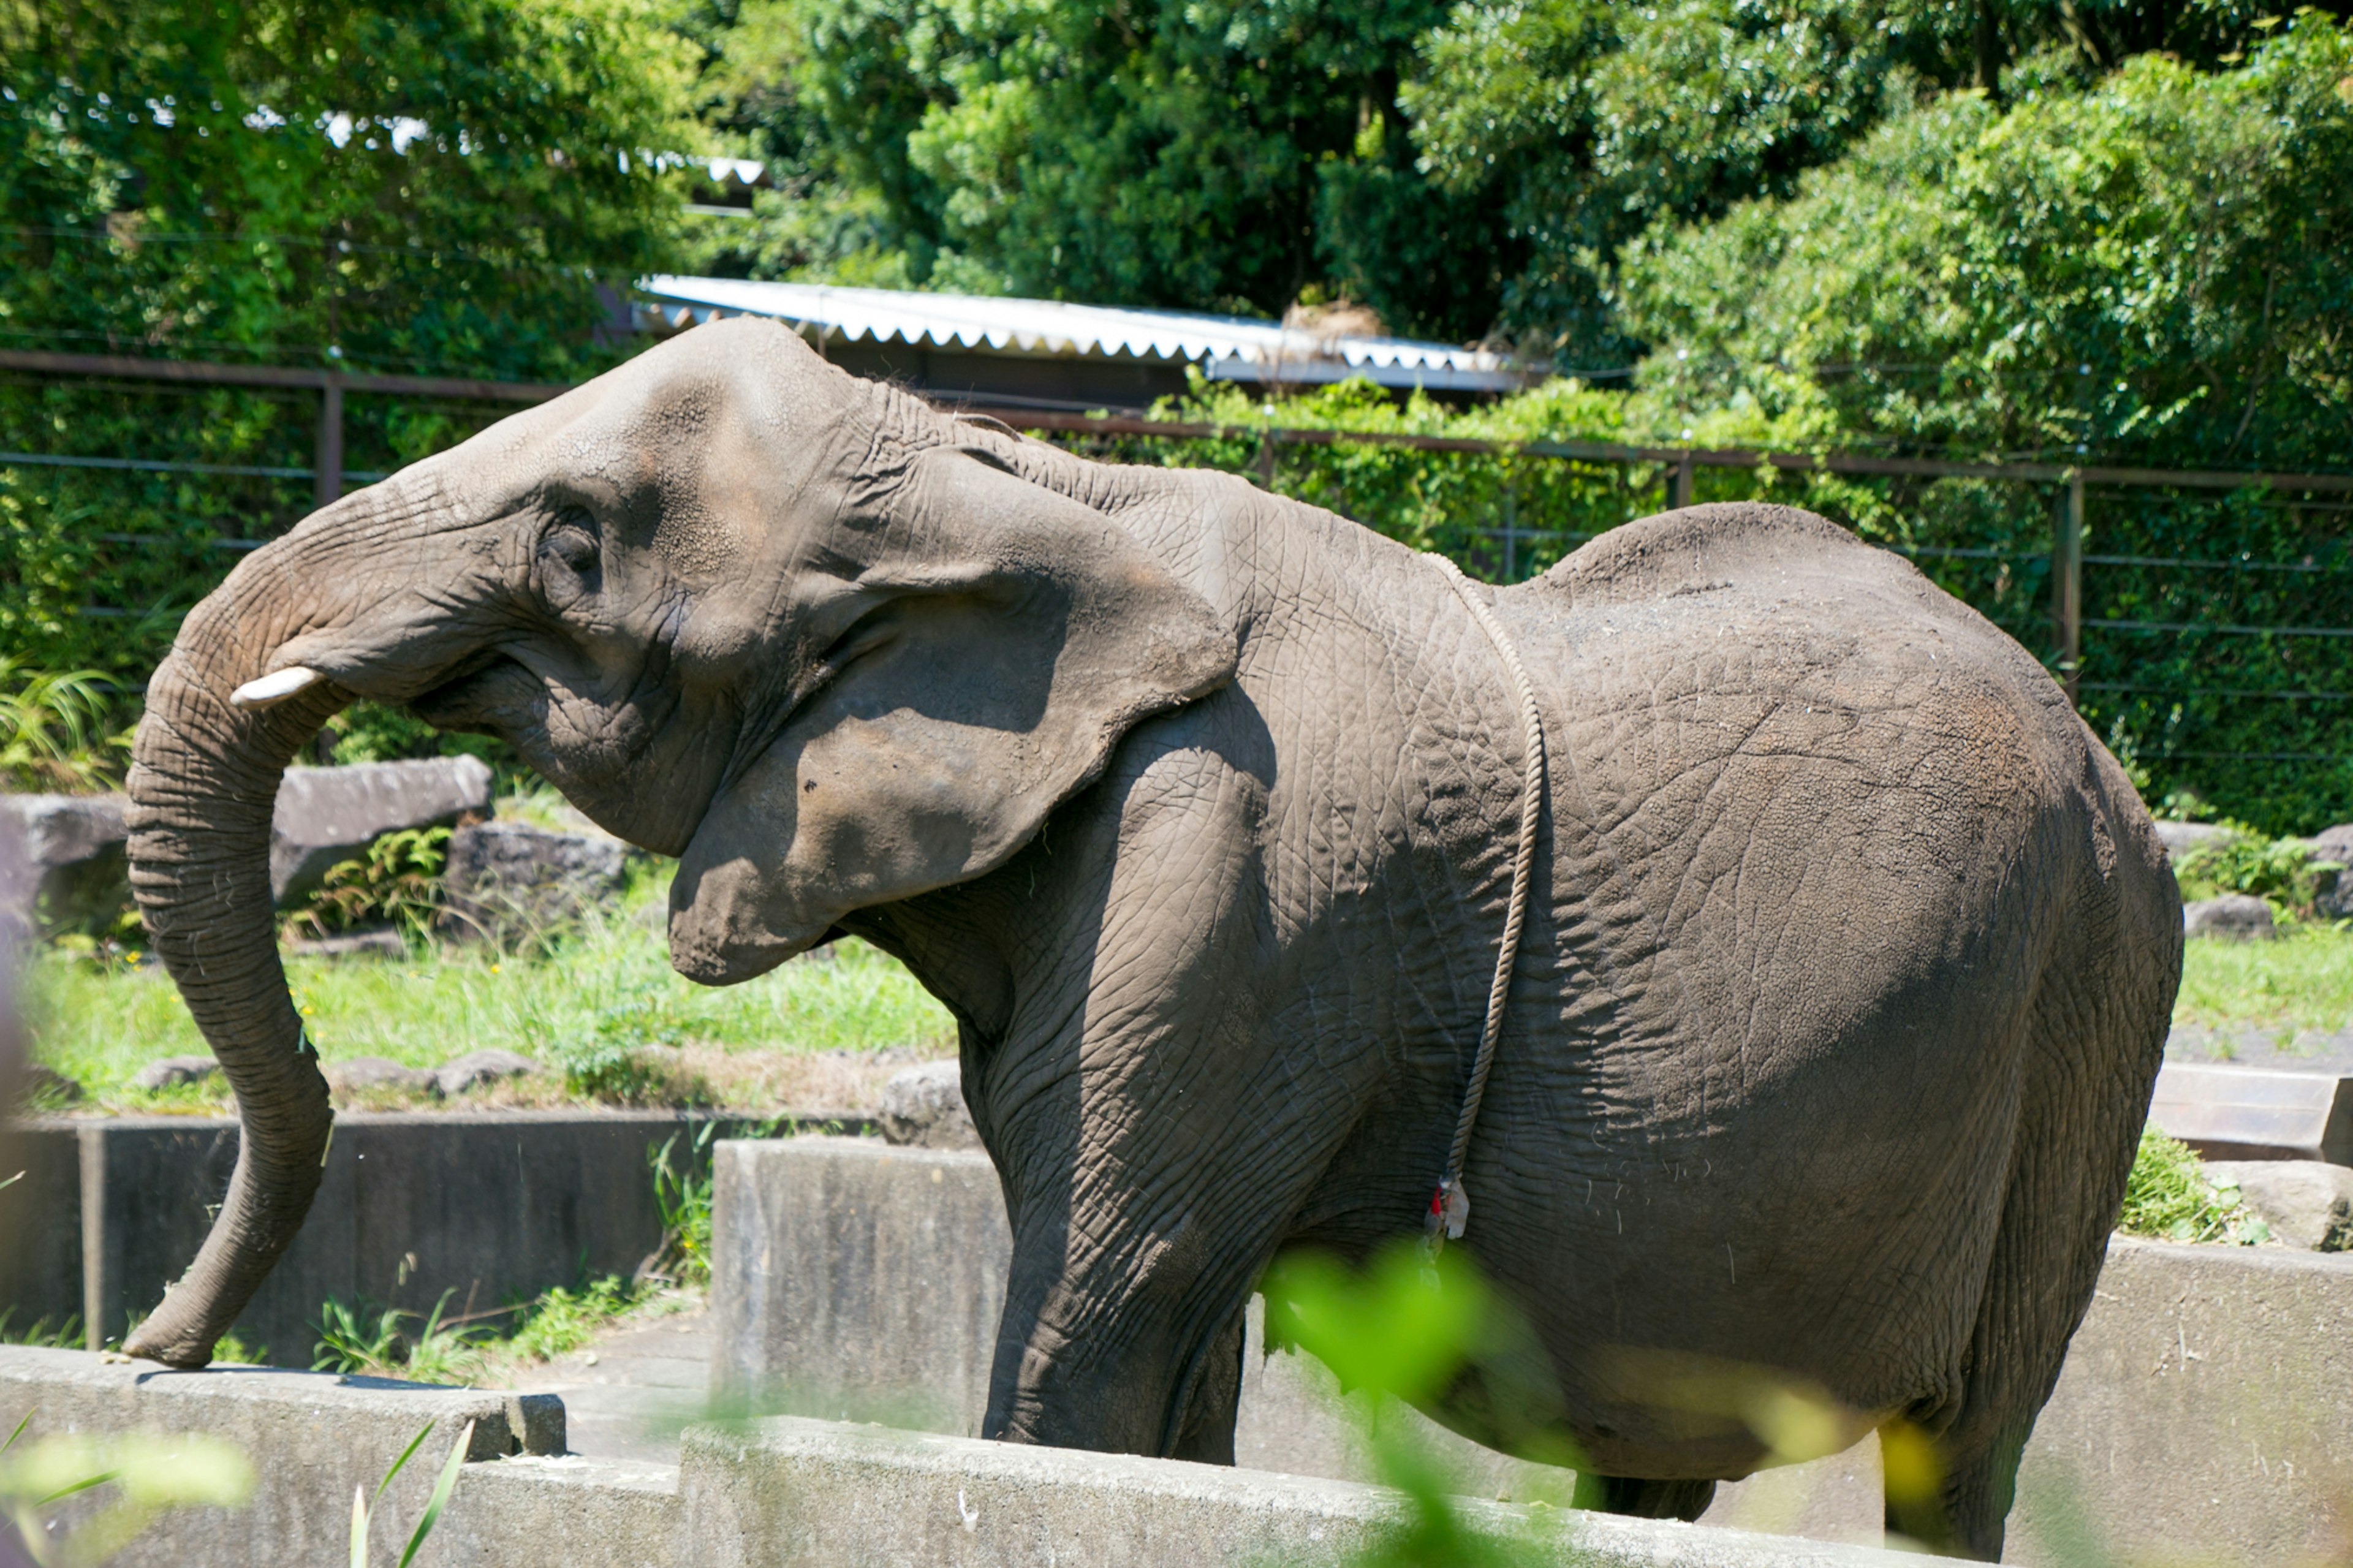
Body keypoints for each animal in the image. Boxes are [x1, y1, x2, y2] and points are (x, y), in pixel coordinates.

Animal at [119, 317, 2174, 1553]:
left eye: (572, 547)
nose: (157, 1358)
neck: (1008, 482)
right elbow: (1162, 1348)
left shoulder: (1242, 884)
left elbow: (1099, 1307)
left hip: (2091, 1006)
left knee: (1961, 1444)